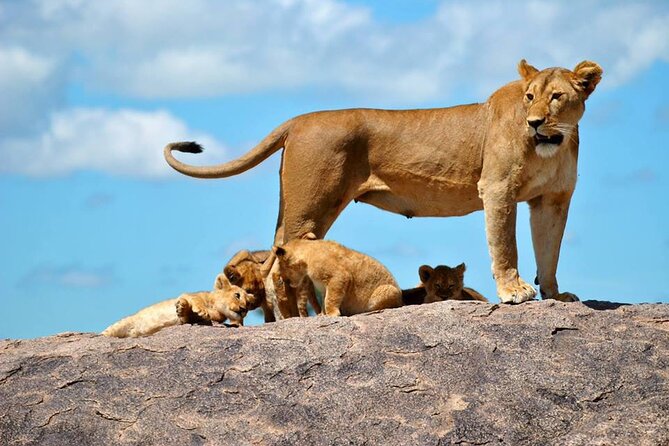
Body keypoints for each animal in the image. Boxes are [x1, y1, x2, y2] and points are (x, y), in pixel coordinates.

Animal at [101, 275, 250, 338]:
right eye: (237, 295)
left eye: (248, 303)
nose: (244, 310)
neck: (215, 307)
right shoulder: (189, 294)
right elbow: (194, 300)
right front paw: (191, 308)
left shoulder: (190, 320)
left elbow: (187, 317)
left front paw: (183, 309)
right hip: (124, 323)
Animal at [165, 59, 602, 308]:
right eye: (529, 97)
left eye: (556, 97)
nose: (534, 122)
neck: (554, 143)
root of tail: (298, 120)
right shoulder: (497, 189)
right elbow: (505, 246)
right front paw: (514, 292)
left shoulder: (553, 199)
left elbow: (549, 252)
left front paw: (556, 295)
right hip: (311, 207)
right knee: (281, 266)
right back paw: (294, 321)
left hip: (295, 208)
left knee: (273, 258)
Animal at [272, 236, 402, 317]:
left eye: (280, 266)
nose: (286, 281)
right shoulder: (324, 287)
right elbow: (325, 299)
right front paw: (322, 314)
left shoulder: (339, 276)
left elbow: (331, 298)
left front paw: (332, 314)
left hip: (387, 290)